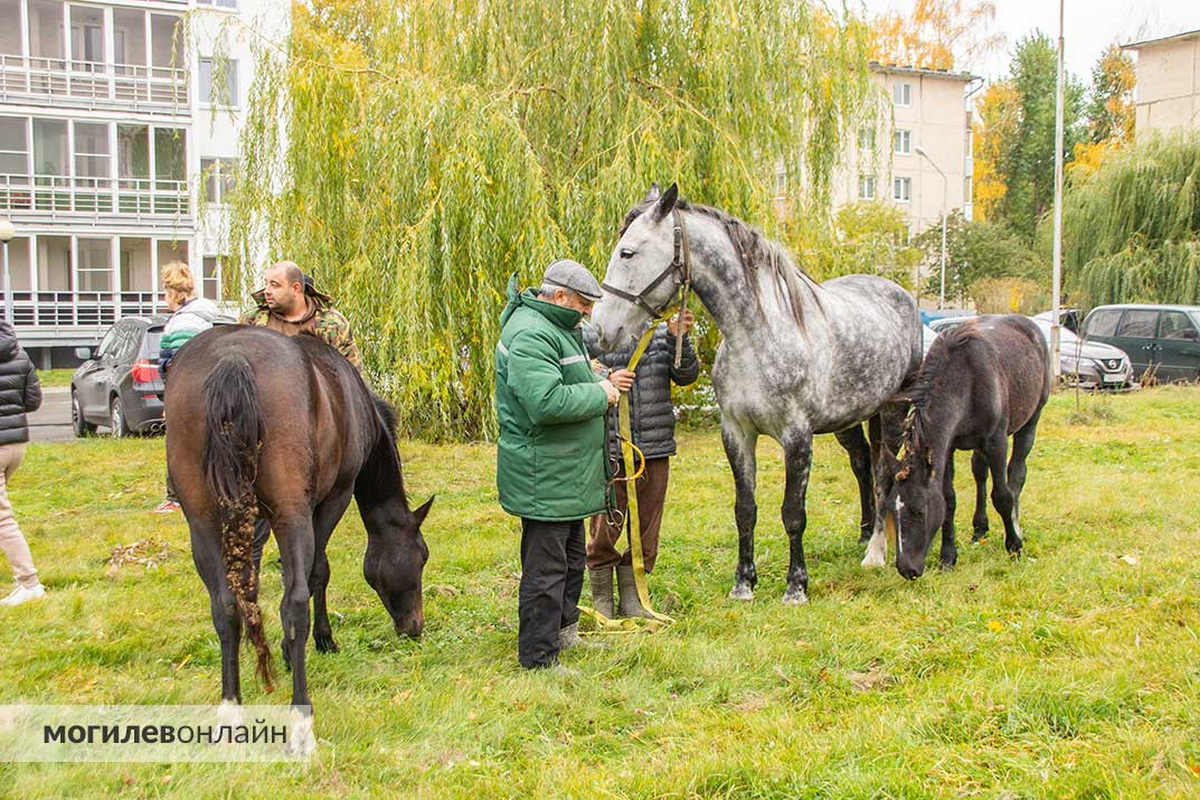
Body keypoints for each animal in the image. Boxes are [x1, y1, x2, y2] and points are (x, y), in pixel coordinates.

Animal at [165, 323, 432, 753]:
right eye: (421, 556)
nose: (414, 628)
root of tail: (233, 358)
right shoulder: (332, 499)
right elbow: (316, 573)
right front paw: (317, 643)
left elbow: (253, 583)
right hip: (292, 515)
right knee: (293, 604)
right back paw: (301, 721)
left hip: (202, 520)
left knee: (225, 605)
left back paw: (231, 710)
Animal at [590, 184, 916, 604]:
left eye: (627, 253)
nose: (601, 329)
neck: (759, 336)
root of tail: (899, 294)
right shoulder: (736, 433)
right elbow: (745, 509)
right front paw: (743, 583)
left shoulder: (798, 438)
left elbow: (793, 512)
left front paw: (796, 586)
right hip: (849, 420)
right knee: (862, 464)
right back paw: (864, 536)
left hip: (893, 413)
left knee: (884, 474)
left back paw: (875, 552)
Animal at [883, 314, 1051, 582]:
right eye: (890, 510)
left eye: (918, 511)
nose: (906, 569)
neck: (966, 381)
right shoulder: (948, 447)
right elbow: (949, 500)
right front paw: (947, 557)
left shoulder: (996, 441)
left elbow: (1002, 495)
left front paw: (1014, 547)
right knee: (980, 473)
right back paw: (979, 529)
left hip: (1030, 421)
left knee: (1016, 474)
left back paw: (1015, 526)